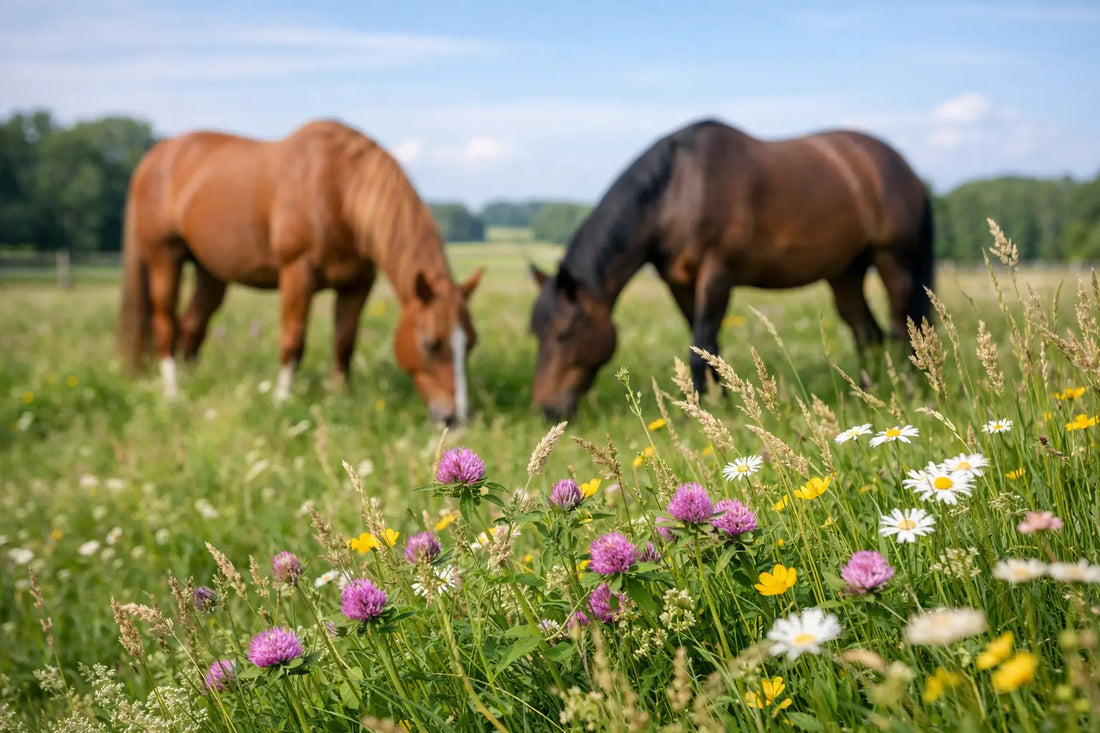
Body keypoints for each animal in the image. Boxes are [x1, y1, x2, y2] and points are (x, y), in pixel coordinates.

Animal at [118, 118, 482, 425]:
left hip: (211, 271)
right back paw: (173, 392)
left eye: (471, 344)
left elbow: (344, 342)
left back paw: (194, 380)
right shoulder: (297, 273)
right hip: (165, 258)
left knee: (193, 326)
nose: (457, 418)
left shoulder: (357, 284)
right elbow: (293, 340)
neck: (340, 191)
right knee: (166, 323)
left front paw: (339, 398)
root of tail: (154, 157)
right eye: (429, 344)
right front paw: (282, 400)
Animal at [529, 118, 934, 419]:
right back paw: (867, 393)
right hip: (845, 273)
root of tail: (905, 169)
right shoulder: (680, 283)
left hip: (892, 259)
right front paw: (714, 403)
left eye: (564, 334)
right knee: (868, 333)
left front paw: (707, 412)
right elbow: (704, 345)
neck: (679, 188)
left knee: (903, 327)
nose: (547, 408)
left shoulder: (717, 274)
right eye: (538, 334)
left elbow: (702, 345)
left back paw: (908, 389)